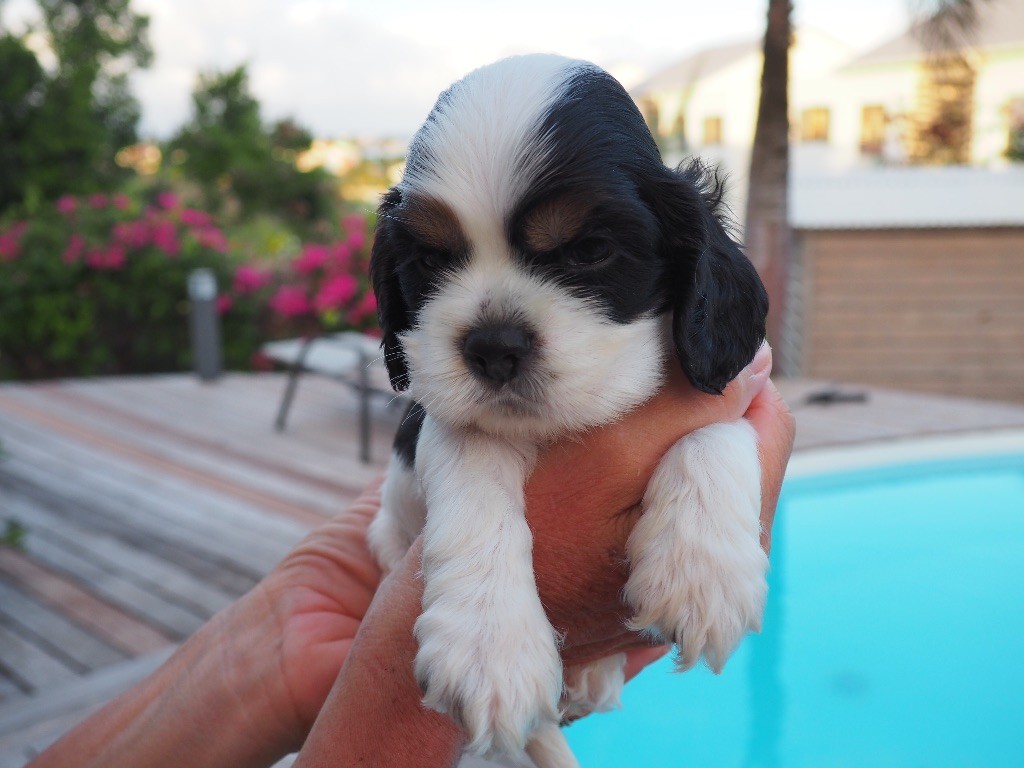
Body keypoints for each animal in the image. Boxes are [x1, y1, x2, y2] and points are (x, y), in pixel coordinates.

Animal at [368, 55, 770, 768]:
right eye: (429, 260)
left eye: (589, 251)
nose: (492, 346)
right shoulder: (436, 426)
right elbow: (474, 465)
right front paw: (489, 644)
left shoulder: (743, 385)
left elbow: (715, 430)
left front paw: (704, 573)